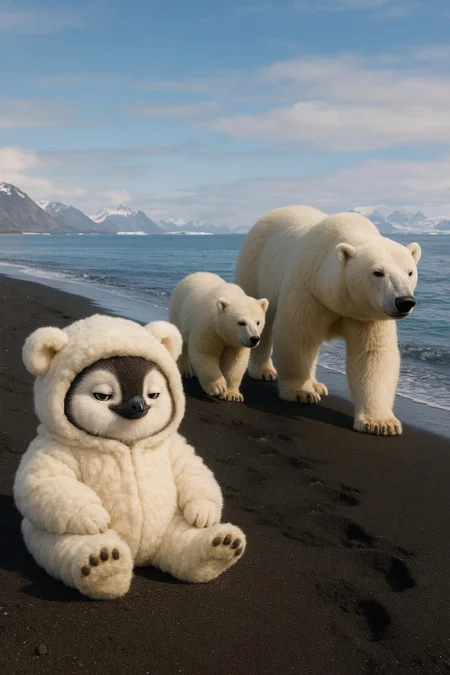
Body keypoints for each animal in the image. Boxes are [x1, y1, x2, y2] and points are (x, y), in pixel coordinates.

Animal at [13, 314, 246, 600]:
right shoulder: (52, 447)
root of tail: (142, 557)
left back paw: (219, 548)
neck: (128, 444)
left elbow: (193, 471)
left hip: (170, 525)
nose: (138, 405)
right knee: (64, 544)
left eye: (153, 394)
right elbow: (43, 481)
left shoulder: (173, 446)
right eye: (102, 395)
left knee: (183, 539)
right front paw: (92, 515)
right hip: (41, 534)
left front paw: (203, 511)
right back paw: (103, 565)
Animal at [169, 272, 268, 402]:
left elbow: (235, 361)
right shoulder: (209, 326)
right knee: (181, 343)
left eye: (258, 322)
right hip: (178, 312)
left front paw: (232, 394)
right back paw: (185, 372)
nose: (254, 338)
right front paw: (218, 387)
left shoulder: (236, 343)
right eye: (241, 322)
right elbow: (205, 353)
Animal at [235, 205, 421, 436]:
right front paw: (301, 392)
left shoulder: (367, 313)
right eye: (378, 272)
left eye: (410, 272)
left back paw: (317, 384)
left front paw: (381, 423)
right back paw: (265, 371)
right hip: (256, 268)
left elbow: (373, 353)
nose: (404, 301)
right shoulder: (308, 288)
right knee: (264, 320)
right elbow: (298, 336)